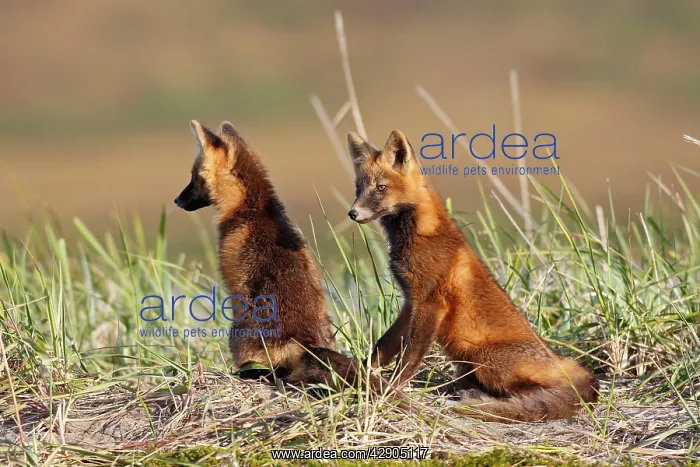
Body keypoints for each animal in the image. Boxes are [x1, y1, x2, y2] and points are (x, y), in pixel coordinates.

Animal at [345, 129, 598, 422]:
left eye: (381, 188)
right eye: (358, 188)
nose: (352, 213)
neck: (422, 234)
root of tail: (563, 361)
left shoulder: (431, 302)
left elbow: (409, 357)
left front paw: (390, 390)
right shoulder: (411, 301)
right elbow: (384, 345)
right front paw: (362, 373)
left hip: (481, 356)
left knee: (544, 394)